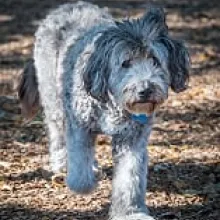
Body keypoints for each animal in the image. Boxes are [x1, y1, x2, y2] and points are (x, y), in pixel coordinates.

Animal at [18, 1, 189, 218]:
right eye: (125, 63)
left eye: (155, 60)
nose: (145, 90)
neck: (113, 103)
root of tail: (66, 6)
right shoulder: (80, 127)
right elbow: (80, 172)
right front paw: (84, 184)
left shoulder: (132, 139)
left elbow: (130, 177)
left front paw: (130, 213)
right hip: (53, 98)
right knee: (57, 133)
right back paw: (63, 163)